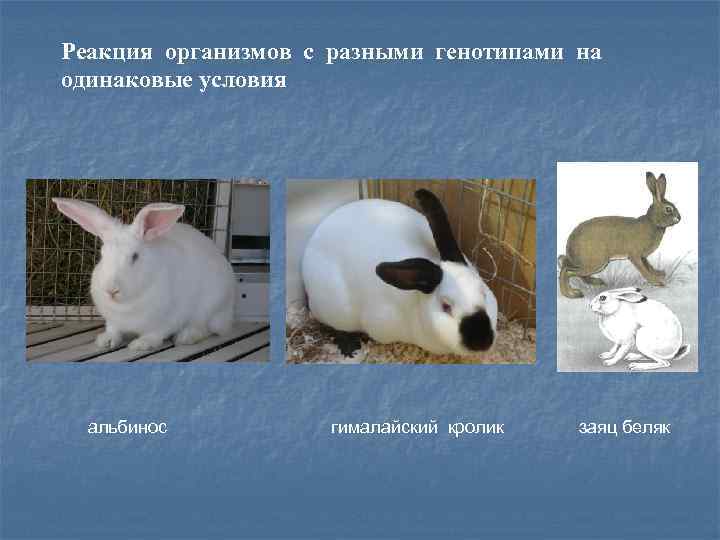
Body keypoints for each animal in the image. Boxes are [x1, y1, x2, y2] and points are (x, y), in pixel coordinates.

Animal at [52, 198, 236, 351]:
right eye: (102, 254)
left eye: (135, 256)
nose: (111, 290)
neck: (127, 304)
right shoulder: (113, 320)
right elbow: (113, 330)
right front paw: (105, 341)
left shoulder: (168, 319)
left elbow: (155, 334)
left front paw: (140, 345)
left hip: (210, 307)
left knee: (205, 328)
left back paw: (186, 337)